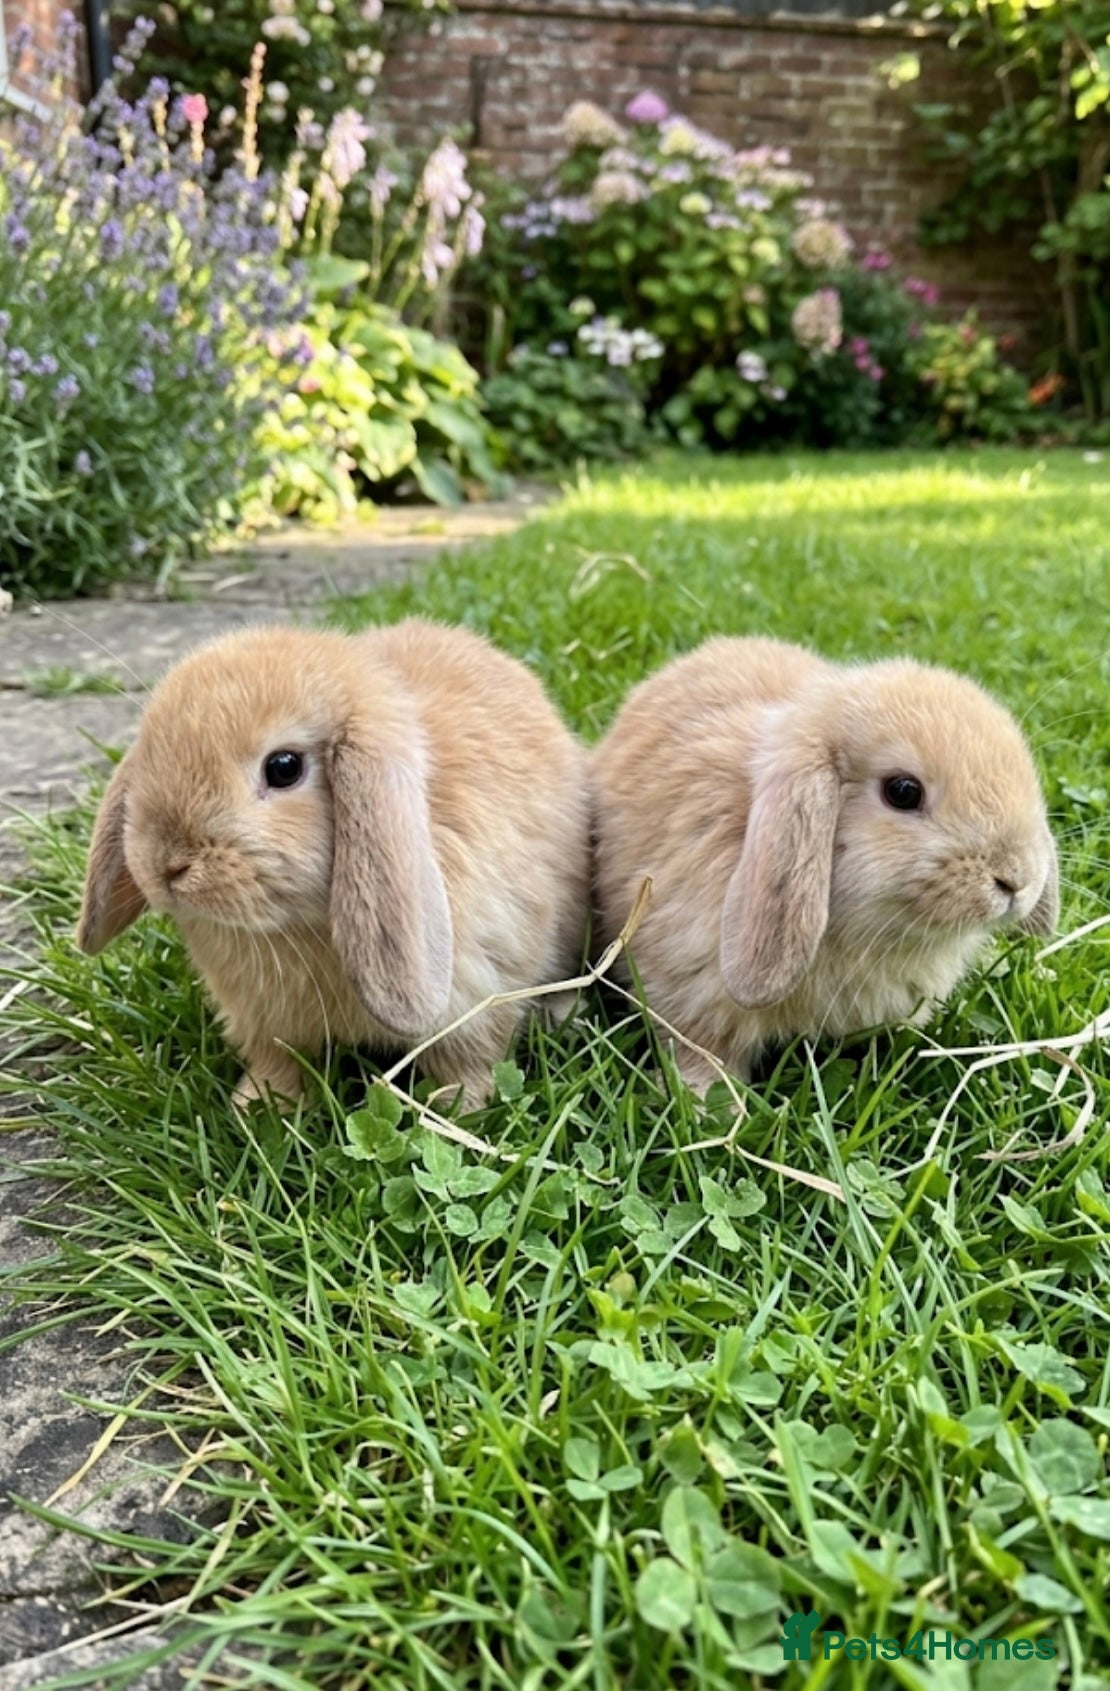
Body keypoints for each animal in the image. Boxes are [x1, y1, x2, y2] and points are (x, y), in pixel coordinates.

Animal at [77, 619, 591, 1111]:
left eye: (284, 767)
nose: (167, 866)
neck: (299, 925)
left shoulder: (479, 995)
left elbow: (465, 1062)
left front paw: (456, 1111)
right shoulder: (265, 1023)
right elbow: (279, 1062)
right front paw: (257, 1108)